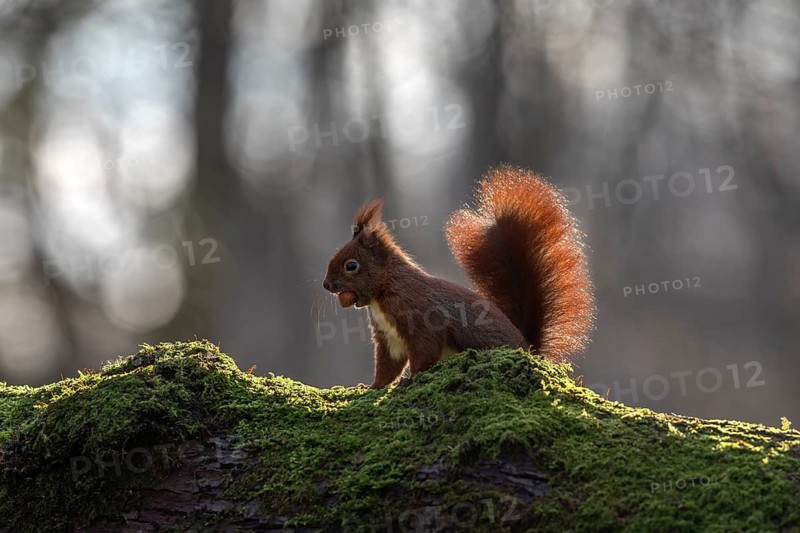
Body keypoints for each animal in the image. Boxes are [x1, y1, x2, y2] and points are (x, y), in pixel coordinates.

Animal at [322, 164, 595, 388]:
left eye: (351, 266)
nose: (326, 285)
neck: (385, 289)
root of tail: (528, 349)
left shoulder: (420, 316)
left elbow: (425, 350)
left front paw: (410, 379)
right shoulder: (387, 337)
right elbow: (388, 366)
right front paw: (371, 386)